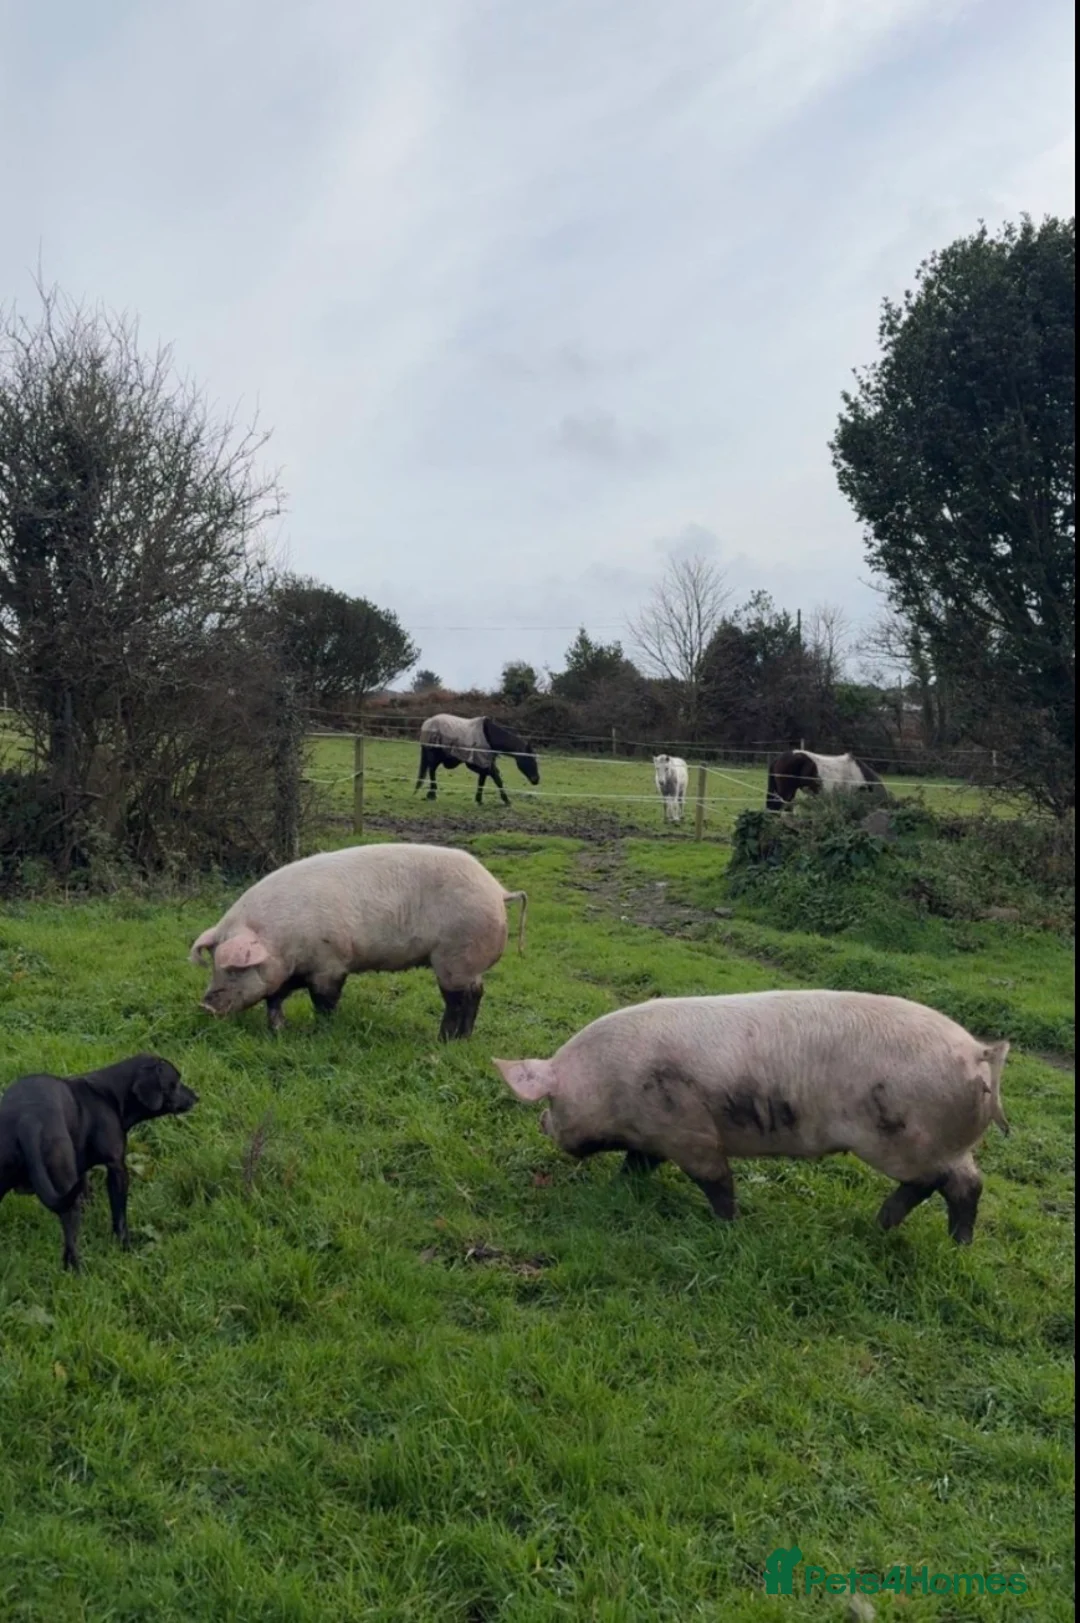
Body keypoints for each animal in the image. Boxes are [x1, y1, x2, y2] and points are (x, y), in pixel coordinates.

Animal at [190, 842, 527, 1038]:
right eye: (214, 966)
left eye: (234, 969)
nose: (204, 1006)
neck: (279, 940)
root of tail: (498, 891)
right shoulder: (295, 969)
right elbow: (275, 996)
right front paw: (278, 1030)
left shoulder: (330, 963)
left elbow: (324, 1001)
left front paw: (322, 1032)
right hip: (468, 963)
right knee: (477, 993)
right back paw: (462, 1040)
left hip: (455, 957)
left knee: (459, 1000)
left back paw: (443, 1040)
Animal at [494, 990, 1010, 1244]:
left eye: (551, 1103)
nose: (542, 1125)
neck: (609, 1084)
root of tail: (979, 1055)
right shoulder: (653, 1135)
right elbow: (636, 1165)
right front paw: (618, 1190)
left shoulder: (687, 1129)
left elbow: (715, 1179)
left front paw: (728, 1226)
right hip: (939, 1143)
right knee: (957, 1182)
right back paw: (900, 1230)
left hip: (914, 1139)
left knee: (953, 1184)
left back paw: (939, 1238)